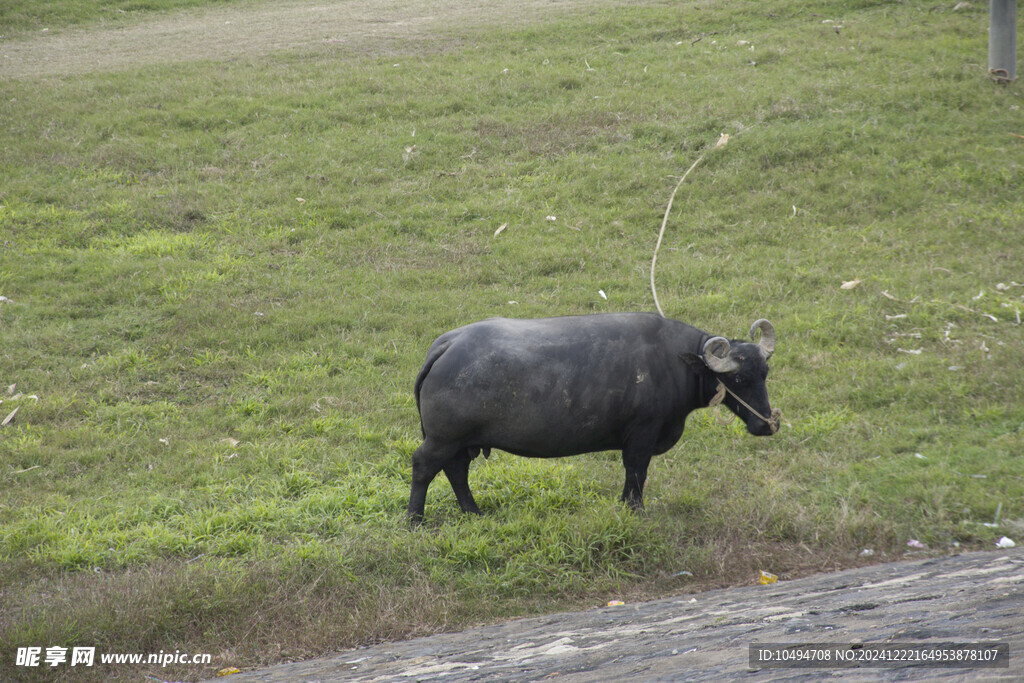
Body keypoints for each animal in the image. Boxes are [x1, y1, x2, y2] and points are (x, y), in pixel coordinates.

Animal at [407, 313, 774, 520]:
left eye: (764, 373)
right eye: (737, 380)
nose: (767, 424)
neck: (673, 363)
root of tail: (447, 344)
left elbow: (631, 475)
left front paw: (625, 505)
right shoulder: (643, 432)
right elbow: (637, 471)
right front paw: (637, 511)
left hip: (460, 441)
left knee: (456, 471)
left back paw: (474, 512)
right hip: (443, 437)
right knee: (424, 466)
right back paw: (415, 518)